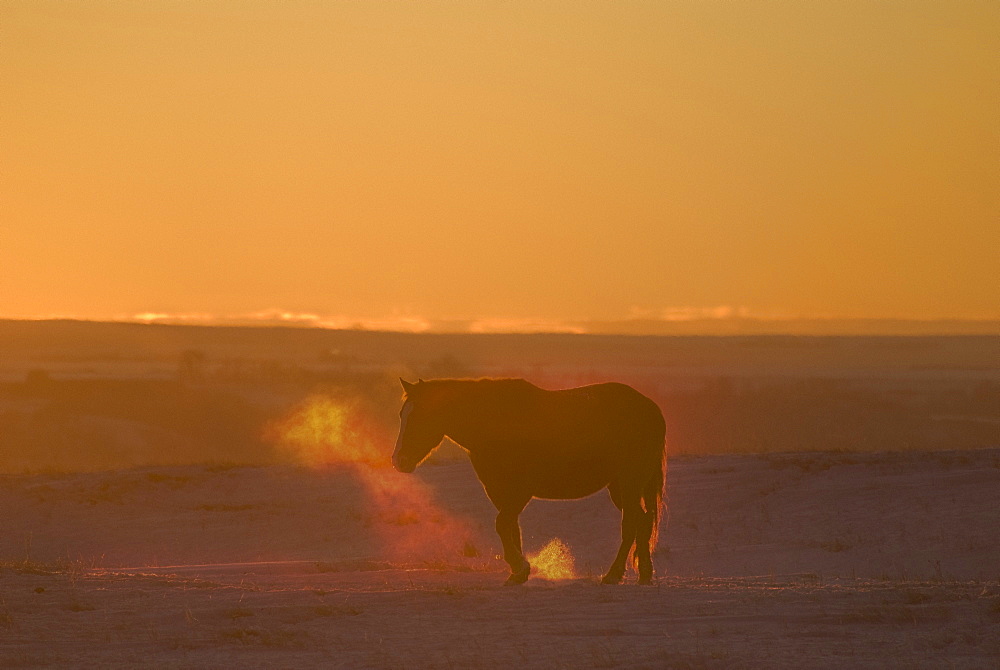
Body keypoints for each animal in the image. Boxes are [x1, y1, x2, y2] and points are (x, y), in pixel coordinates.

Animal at [394, 380, 668, 584]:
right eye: (402, 415)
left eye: (420, 415)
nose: (398, 461)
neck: (495, 420)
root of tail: (651, 410)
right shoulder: (499, 492)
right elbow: (511, 528)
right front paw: (518, 572)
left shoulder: (520, 492)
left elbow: (502, 524)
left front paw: (520, 566)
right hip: (620, 486)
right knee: (643, 521)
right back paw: (645, 573)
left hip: (630, 482)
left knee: (630, 524)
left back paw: (613, 574)